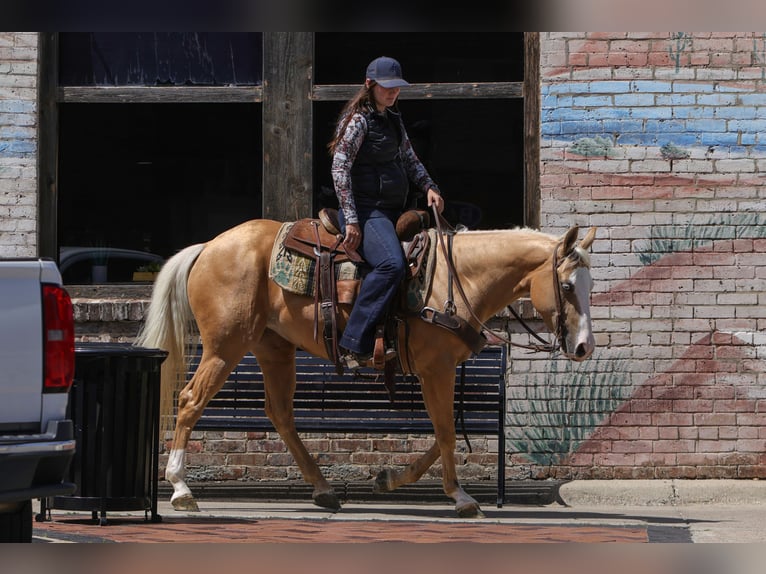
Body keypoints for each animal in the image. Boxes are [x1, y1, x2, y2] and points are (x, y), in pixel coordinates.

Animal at [135, 218, 597, 518]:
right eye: (567, 286)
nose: (583, 347)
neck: (454, 280)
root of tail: (208, 245)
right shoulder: (437, 370)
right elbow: (447, 433)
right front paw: (461, 497)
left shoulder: (439, 371)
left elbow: (441, 434)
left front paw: (389, 478)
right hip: (226, 345)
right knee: (190, 400)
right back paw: (180, 488)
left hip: (273, 348)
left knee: (280, 414)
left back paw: (323, 490)